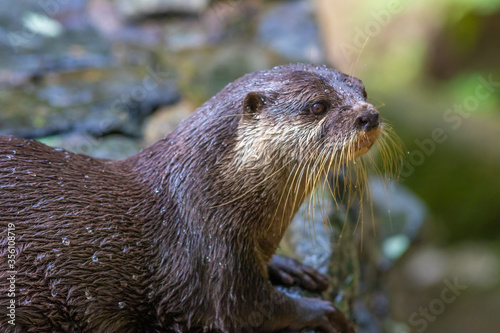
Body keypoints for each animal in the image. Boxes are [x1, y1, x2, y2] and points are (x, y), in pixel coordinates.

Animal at [0, 63, 382, 330]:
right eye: (318, 106)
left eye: (362, 88)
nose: (370, 115)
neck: (209, 196)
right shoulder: (210, 256)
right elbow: (249, 310)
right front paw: (326, 312)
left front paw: (290, 268)